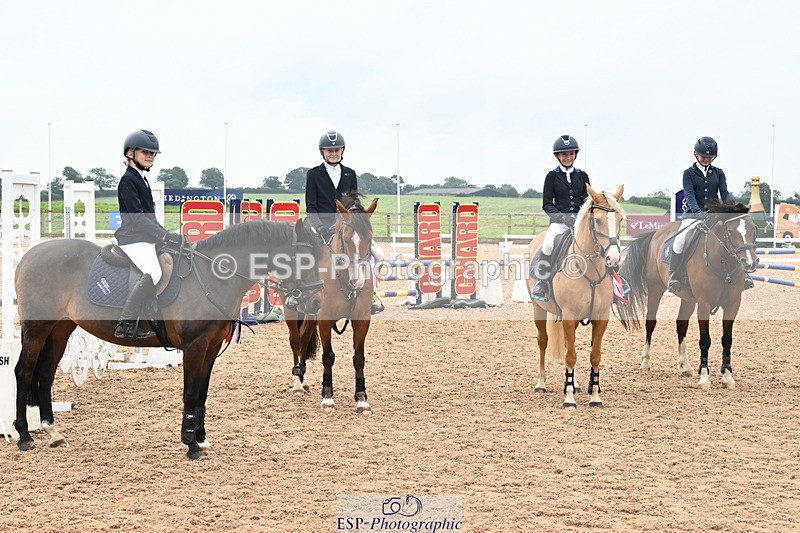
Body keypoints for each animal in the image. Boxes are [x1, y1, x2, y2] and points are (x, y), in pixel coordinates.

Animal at [13, 219, 324, 459]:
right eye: (303, 260)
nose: (316, 303)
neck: (213, 277)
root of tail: (29, 256)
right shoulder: (195, 347)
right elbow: (190, 393)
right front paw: (191, 446)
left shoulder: (210, 348)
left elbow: (202, 394)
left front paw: (201, 439)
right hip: (37, 329)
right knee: (24, 371)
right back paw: (25, 437)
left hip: (60, 329)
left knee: (45, 373)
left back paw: (53, 432)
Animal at [285, 192, 378, 413]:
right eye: (344, 238)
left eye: (369, 239)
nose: (358, 281)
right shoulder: (325, 319)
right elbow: (328, 356)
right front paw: (327, 397)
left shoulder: (362, 319)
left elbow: (359, 358)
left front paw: (362, 399)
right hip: (291, 310)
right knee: (295, 341)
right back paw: (297, 384)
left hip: (310, 313)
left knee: (303, 338)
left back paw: (303, 379)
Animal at [526, 185, 626, 408]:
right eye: (597, 221)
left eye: (619, 220)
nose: (614, 260)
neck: (591, 270)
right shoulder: (569, 316)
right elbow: (571, 356)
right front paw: (569, 398)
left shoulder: (600, 318)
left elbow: (594, 356)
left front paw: (595, 396)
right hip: (538, 309)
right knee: (543, 341)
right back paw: (541, 383)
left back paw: (577, 384)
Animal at [615, 200, 757, 388]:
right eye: (731, 231)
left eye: (754, 229)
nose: (749, 263)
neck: (723, 264)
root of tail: (657, 233)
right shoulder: (704, 303)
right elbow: (705, 340)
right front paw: (704, 378)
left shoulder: (733, 304)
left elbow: (727, 339)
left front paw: (727, 378)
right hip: (655, 288)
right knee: (650, 322)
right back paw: (645, 362)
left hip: (688, 299)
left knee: (681, 323)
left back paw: (685, 366)